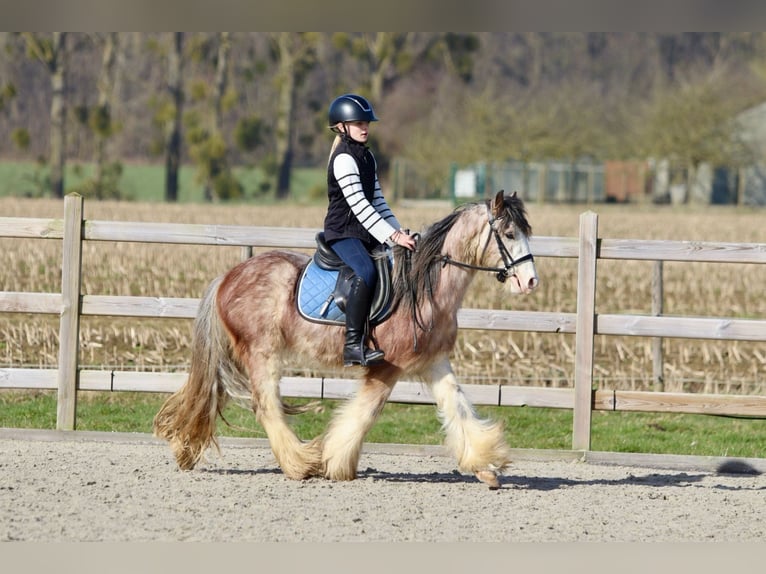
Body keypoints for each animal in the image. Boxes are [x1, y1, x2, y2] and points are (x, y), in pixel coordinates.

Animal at [153, 191, 540, 488]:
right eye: (508, 234)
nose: (531, 281)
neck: (424, 289)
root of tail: (227, 277)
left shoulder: (435, 362)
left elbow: (457, 406)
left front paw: (486, 467)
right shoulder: (386, 366)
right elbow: (364, 414)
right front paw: (336, 463)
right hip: (262, 353)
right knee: (266, 406)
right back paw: (300, 463)